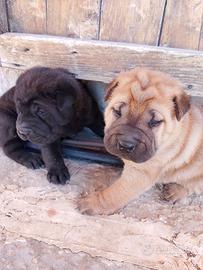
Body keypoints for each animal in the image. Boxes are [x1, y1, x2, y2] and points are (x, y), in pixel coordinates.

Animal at [77, 69, 203, 215]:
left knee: (193, 186)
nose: (126, 145)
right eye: (117, 112)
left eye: (155, 122)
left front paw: (92, 203)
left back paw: (175, 191)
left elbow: (114, 193)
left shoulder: (140, 173)